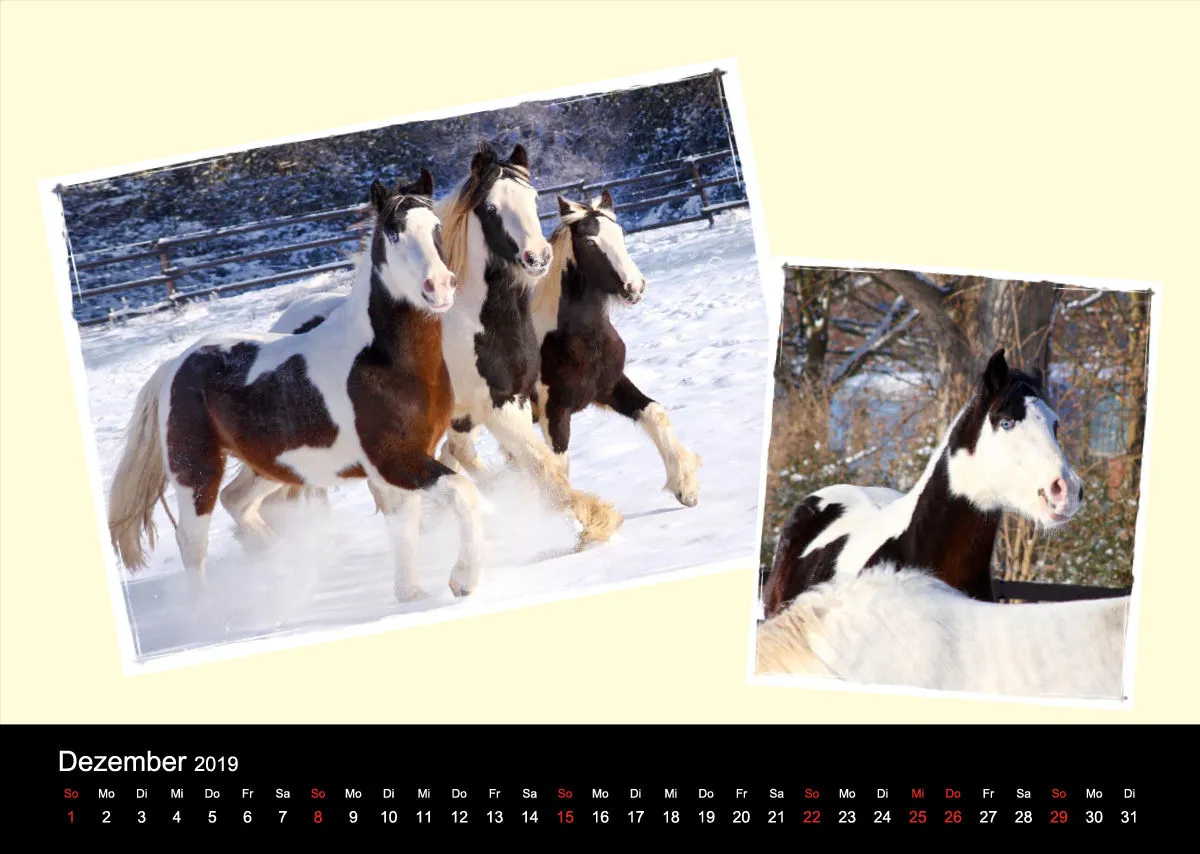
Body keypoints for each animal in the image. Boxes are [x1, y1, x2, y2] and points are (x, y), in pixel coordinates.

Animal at [106, 170, 487, 601]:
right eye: (394, 233)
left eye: (436, 227)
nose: (438, 286)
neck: (384, 361)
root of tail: (175, 365)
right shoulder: (396, 461)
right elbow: (464, 494)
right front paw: (462, 580)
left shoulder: (400, 464)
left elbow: (404, 526)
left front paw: (412, 595)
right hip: (196, 472)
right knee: (193, 543)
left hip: (268, 464)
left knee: (237, 502)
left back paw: (281, 565)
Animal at [237, 142, 622, 548]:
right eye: (491, 208)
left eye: (533, 198)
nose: (538, 257)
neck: (476, 324)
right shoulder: (493, 407)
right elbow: (540, 467)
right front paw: (596, 521)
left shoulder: (502, 404)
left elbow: (522, 465)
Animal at [527, 192, 701, 506]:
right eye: (589, 242)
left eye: (620, 233)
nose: (635, 287)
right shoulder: (553, 412)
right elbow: (558, 468)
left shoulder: (610, 386)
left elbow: (654, 412)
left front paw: (685, 486)